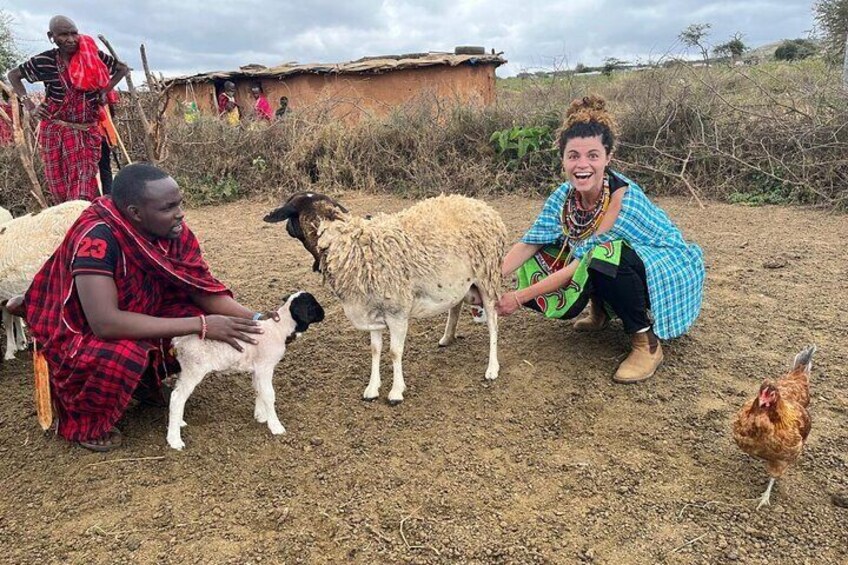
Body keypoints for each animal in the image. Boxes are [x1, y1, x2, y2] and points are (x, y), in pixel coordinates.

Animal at [167, 290, 326, 450]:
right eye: (312, 305)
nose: (324, 314)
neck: (279, 329)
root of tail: (178, 342)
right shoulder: (265, 367)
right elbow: (269, 394)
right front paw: (275, 426)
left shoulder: (258, 368)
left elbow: (259, 390)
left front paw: (261, 416)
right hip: (194, 369)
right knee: (176, 398)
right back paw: (175, 440)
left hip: (185, 370)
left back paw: (179, 423)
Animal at [264, 192, 510, 404]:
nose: (284, 227)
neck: (346, 243)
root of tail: (483, 206)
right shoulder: (371, 312)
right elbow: (375, 350)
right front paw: (372, 389)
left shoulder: (397, 312)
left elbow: (394, 352)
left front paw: (396, 392)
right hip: (459, 282)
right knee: (455, 306)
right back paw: (447, 338)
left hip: (487, 278)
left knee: (493, 323)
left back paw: (492, 368)